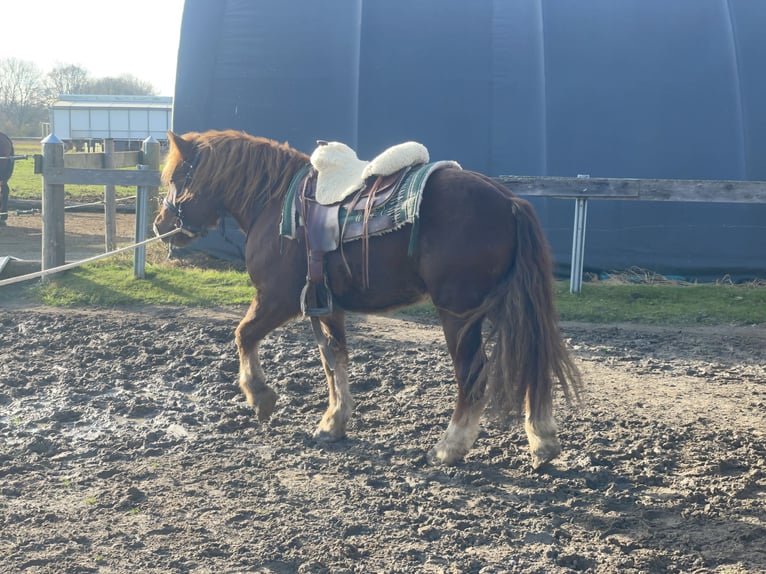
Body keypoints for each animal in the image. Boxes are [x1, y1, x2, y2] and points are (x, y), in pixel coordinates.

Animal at [154, 129, 584, 468]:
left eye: (177, 175)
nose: (161, 225)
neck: (274, 204)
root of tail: (509, 201)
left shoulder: (277, 300)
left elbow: (243, 335)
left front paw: (261, 397)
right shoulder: (326, 306)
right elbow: (334, 361)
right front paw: (333, 423)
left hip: (458, 314)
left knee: (473, 375)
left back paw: (448, 448)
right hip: (503, 307)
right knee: (531, 359)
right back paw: (542, 441)